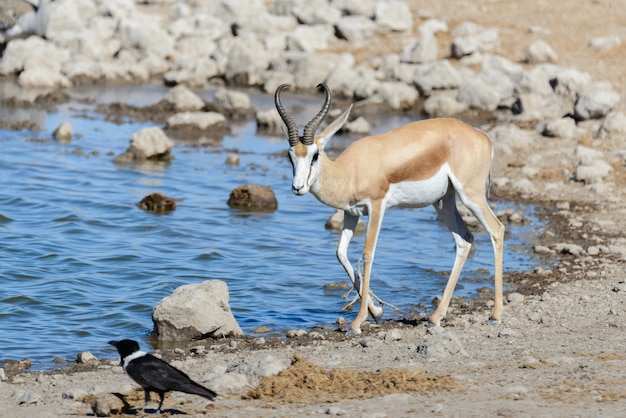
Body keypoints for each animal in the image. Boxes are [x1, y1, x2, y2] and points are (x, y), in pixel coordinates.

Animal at [272, 83, 502, 334]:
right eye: (290, 156)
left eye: (315, 155)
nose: (298, 187)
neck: (350, 171)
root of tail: (483, 137)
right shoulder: (351, 213)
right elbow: (341, 253)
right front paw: (376, 311)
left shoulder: (376, 206)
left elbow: (367, 254)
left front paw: (358, 321)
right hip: (444, 202)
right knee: (465, 239)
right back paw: (435, 317)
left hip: (471, 196)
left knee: (497, 230)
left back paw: (495, 315)